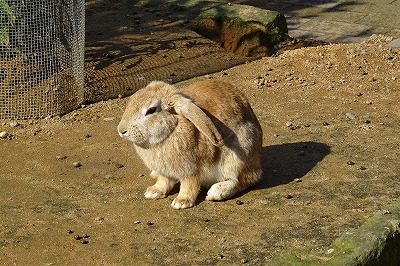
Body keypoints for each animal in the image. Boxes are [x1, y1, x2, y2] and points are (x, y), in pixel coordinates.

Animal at [117, 80, 264, 209]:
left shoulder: (190, 169)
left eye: (151, 110)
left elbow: (189, 185)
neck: (171, 131)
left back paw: (217, 192)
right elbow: (164, 182)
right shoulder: (166, 171)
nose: (121, 130)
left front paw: (181, 202)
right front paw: (153, 192)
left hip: (238, 155)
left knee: (245, 179)